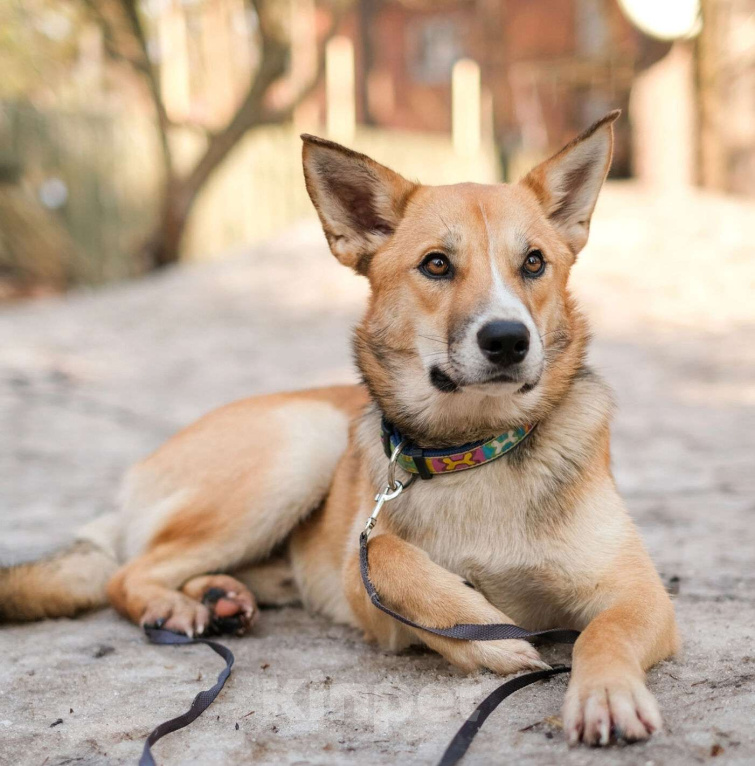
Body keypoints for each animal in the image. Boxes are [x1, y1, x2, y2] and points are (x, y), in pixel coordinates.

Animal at [0, 114, 680, 752]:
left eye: (534, 262)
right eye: (437, 264)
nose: (509, 340)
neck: (475, 451)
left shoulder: (639, 594)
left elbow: (604, 632)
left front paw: (606, 693)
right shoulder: (367, 586)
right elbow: (386, 554)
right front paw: (491, 637)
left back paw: (220, 595)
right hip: (303, 445)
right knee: (126, 573)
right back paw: (174, 602)